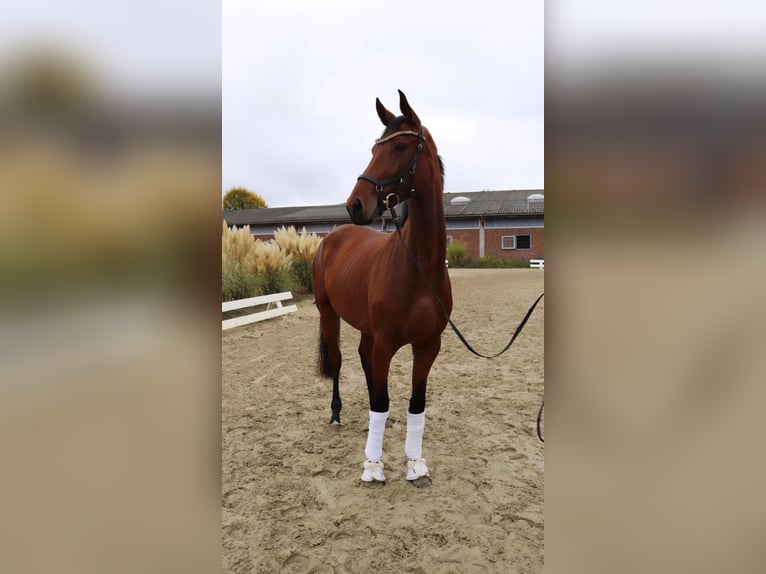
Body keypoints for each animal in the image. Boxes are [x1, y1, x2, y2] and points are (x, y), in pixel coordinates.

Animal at [312, 90, 452, 486]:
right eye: (375, 148)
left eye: (401, 145)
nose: (356, 204)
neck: (418, 269)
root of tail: (334, 236)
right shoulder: (387, 341)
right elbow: (381, 402)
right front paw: (372, 466)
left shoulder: (428, 345)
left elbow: (415, 404)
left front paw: (416, 463)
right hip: (328, 314)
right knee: (340, 360)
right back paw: (336, 415)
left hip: (367, 328)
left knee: (363, 358)